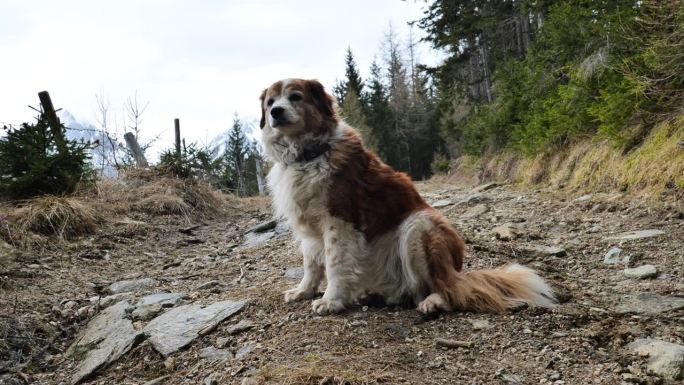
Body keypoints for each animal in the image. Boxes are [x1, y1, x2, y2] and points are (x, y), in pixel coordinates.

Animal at [258, 79, 556, 316]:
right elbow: (311, 265)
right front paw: (303, 291)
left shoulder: (338, 221)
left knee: (447, 289)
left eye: (295, 97)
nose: (275, 112)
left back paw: (433, 302)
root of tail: (458, 271)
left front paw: (332, 300)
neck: (307, 156)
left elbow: (334, 264)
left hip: (418, 226)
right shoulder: (309, 228)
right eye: (271, 101)